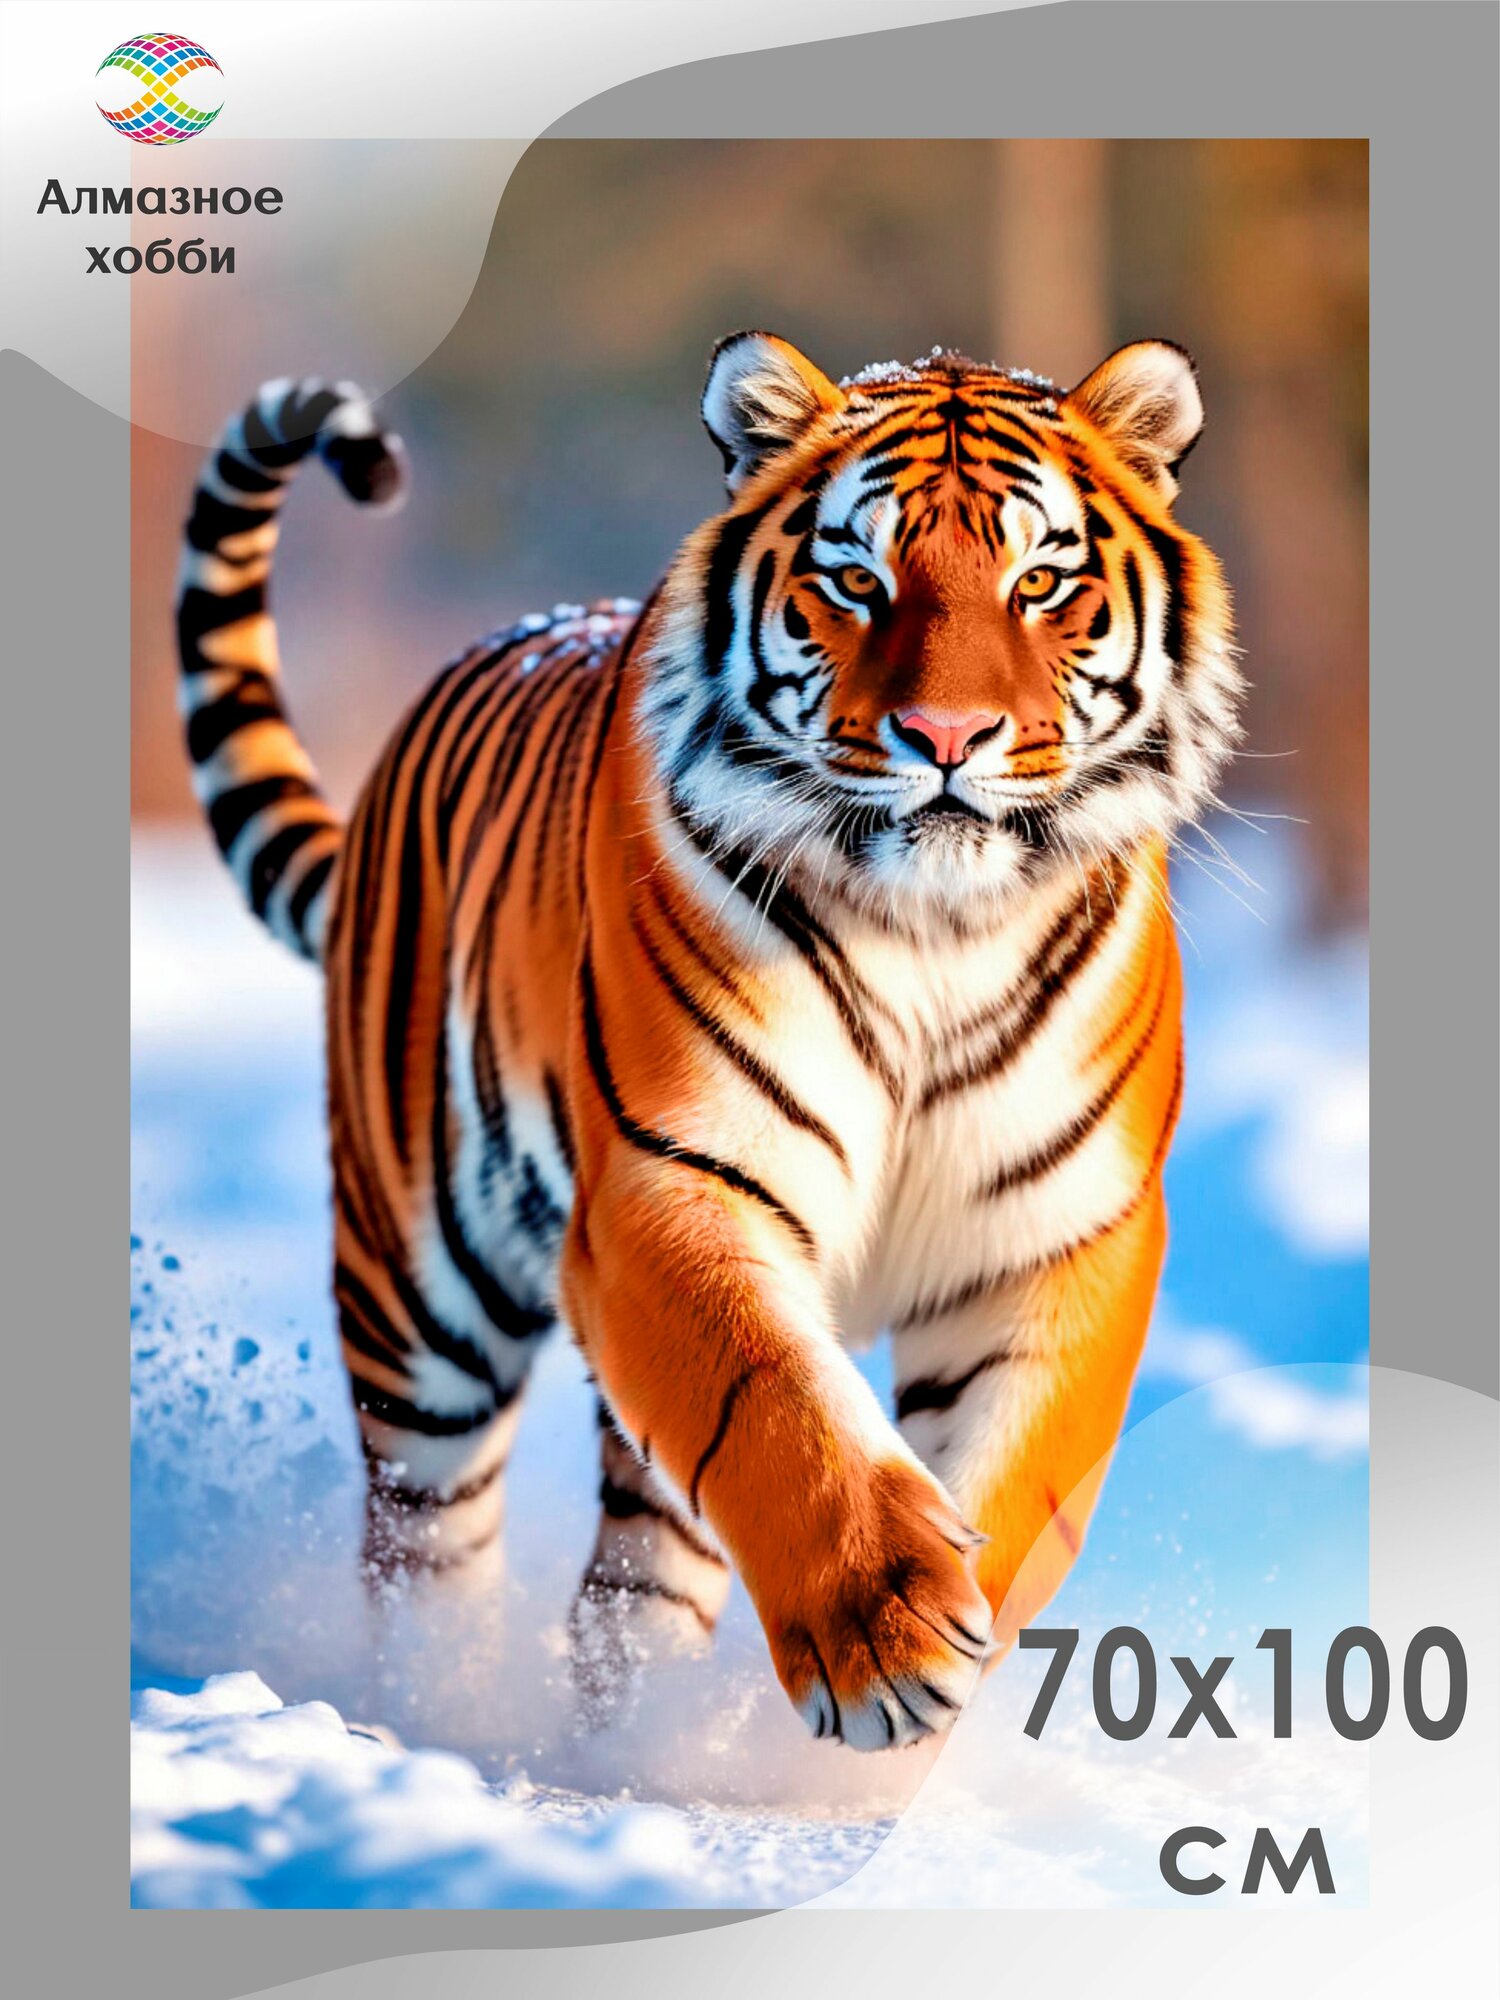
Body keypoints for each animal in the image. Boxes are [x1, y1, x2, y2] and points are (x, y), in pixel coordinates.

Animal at [175, 333, 1239, 1751]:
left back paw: (643, 1736)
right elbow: (779, 1408)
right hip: (420, 1300)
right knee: (423, 1541)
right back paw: (439, 1711)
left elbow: (1016, 1476)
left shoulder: (1060, 1232)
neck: (936, 930)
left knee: (632, 1583)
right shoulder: (669, 1184)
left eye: (1041, 582)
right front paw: (885, 1640)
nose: (947, 738)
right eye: (856, 579)